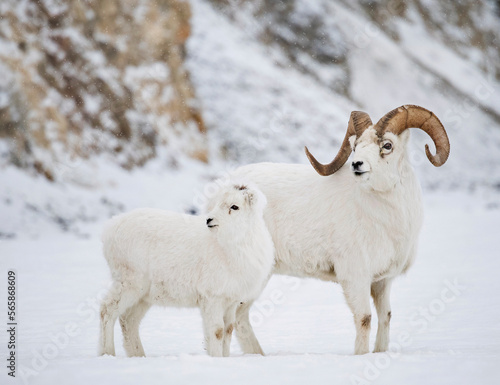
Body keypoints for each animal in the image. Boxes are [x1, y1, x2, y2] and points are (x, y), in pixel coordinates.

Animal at [98, 182, 276, 356]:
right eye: (218, 203)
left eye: (235, 206)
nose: (209, 220)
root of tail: (110, 228)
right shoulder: (212, 299)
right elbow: (217, 332)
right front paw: (216, 358)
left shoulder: (230, 302)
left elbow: (228, 331)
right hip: (129, 284)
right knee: (107, 310)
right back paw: (107, 353)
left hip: (143, 296)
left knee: (128, 320)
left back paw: (138, 355)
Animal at [211, 104, 450, 354]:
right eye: (355, 146)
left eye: (387, 145)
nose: (357, 165)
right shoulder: (355, 277)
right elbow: (364, 319)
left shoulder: (382, 282)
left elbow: (385, 317)